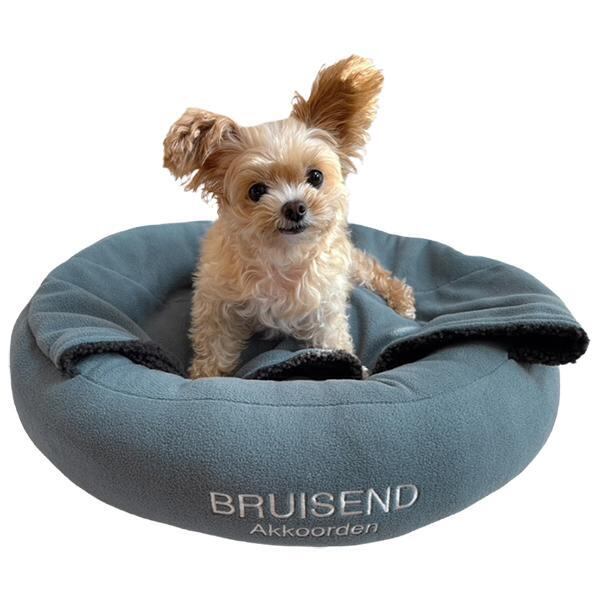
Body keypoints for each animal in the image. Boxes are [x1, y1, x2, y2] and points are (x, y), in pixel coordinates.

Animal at [163, 55, 415, 378]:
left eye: (316, 176)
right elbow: (214, 347)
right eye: (256, 191)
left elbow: (335, 344)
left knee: (374, 269)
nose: (294, 207)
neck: (281, 258)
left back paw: (402, 300)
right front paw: (205, 378)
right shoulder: (217, 304)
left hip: (352, 264)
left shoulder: (325, 312)